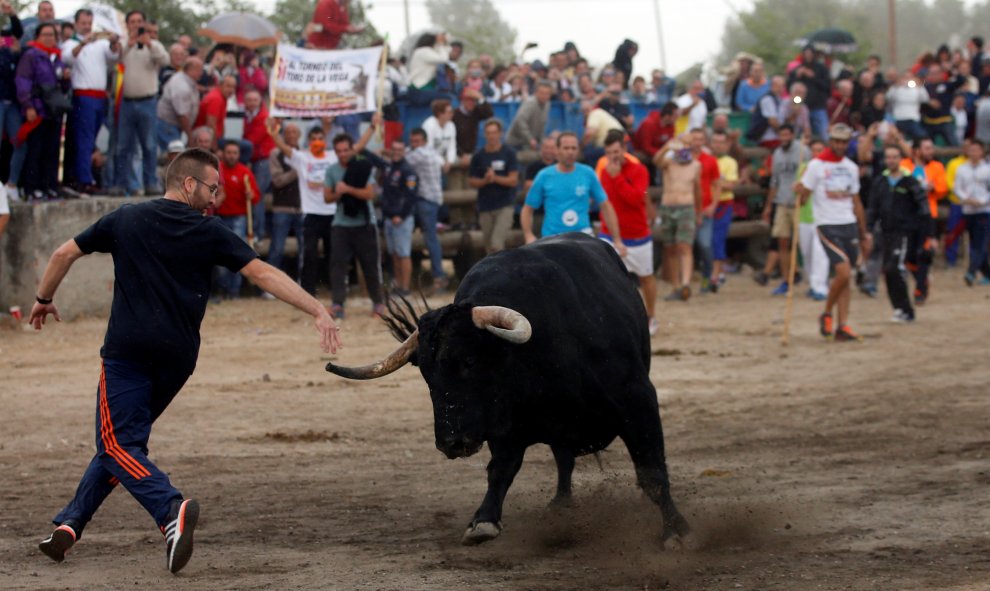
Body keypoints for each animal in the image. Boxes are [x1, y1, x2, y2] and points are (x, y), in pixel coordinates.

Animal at [326, 234, 688, 548]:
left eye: (470, 361)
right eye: (426, 373)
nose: (451, 442)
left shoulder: (637, 398)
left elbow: (652, 471)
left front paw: (676, 531)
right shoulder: (505, 423)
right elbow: (501, 469)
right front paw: (483, 521)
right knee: (564, 459)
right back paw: (560, 504)